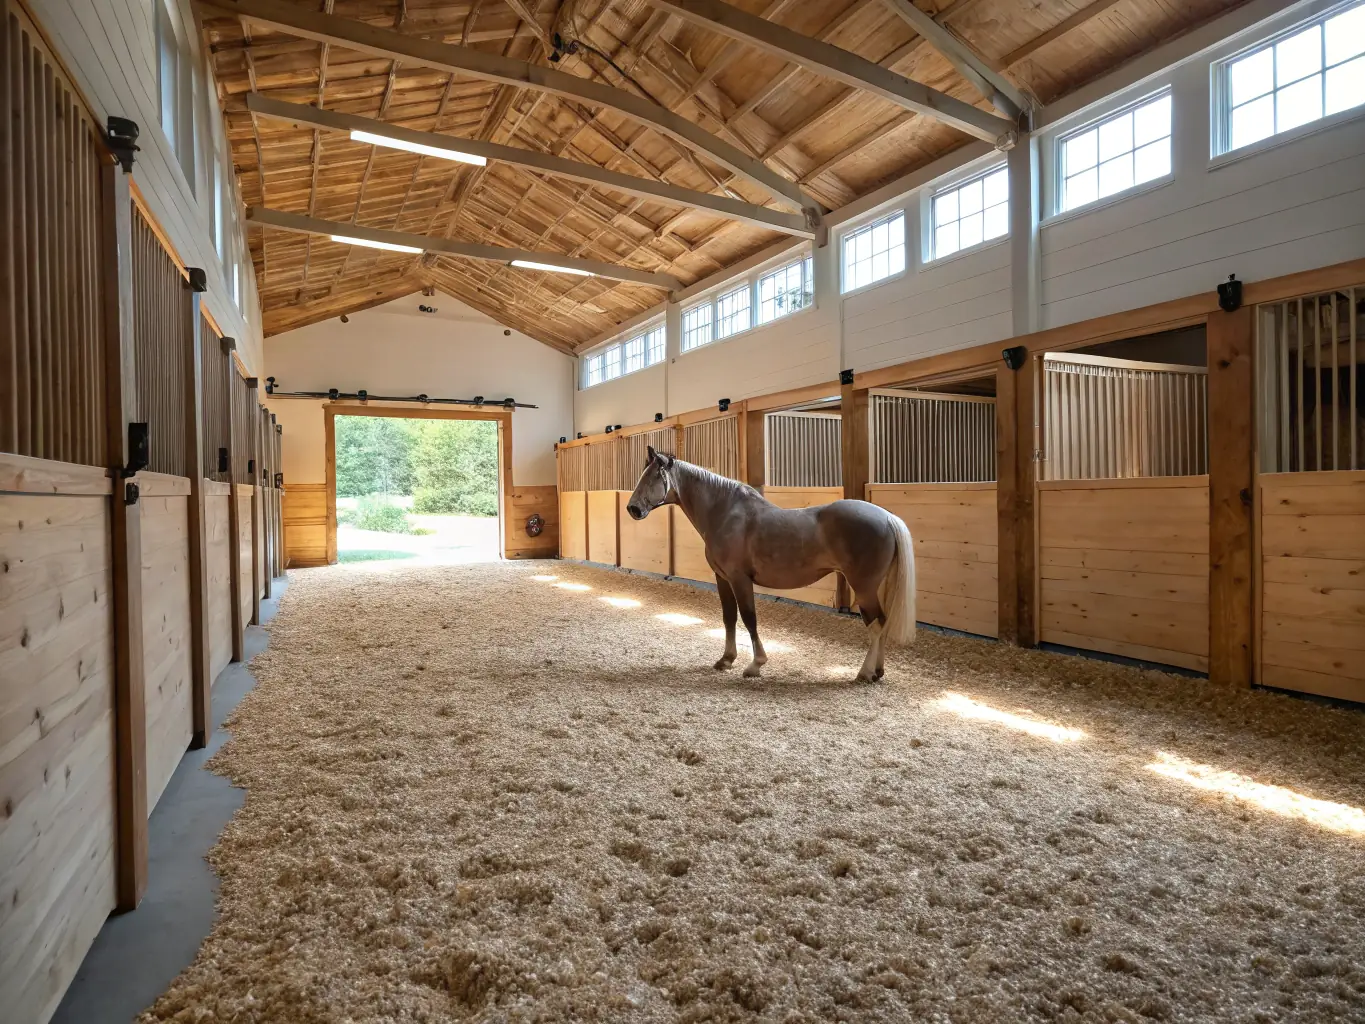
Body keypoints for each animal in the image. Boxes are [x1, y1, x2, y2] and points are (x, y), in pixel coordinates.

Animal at [626, 446, 916, 683]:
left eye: (653, 477)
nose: (632, 509)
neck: (725, 513)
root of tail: (887, 517)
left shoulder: (739, 579)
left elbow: (749, 618)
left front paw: (755, 665)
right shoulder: (723, 578)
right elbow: (729, 617)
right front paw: (726, 659)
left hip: (863, 587)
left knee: (875, 625)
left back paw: (864, 673)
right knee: (881, 622)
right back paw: (877, 672)